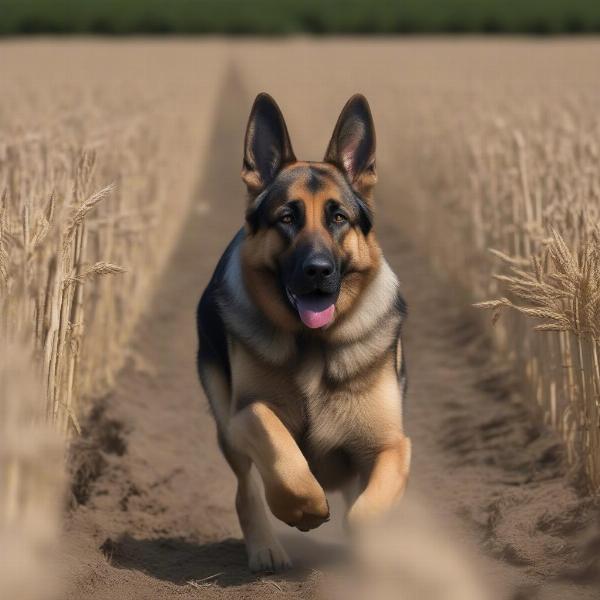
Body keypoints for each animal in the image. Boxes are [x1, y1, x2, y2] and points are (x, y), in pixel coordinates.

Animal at [197, 92, 412, 572]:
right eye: (286, 218)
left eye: (338, 218)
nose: (318, 271)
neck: (314, 343)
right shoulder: (244, 416)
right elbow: (282, 451)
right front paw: (304, 508)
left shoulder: (391, 446)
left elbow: (367, 513)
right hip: (226, 428)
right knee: (245, 491)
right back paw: (266, 549)